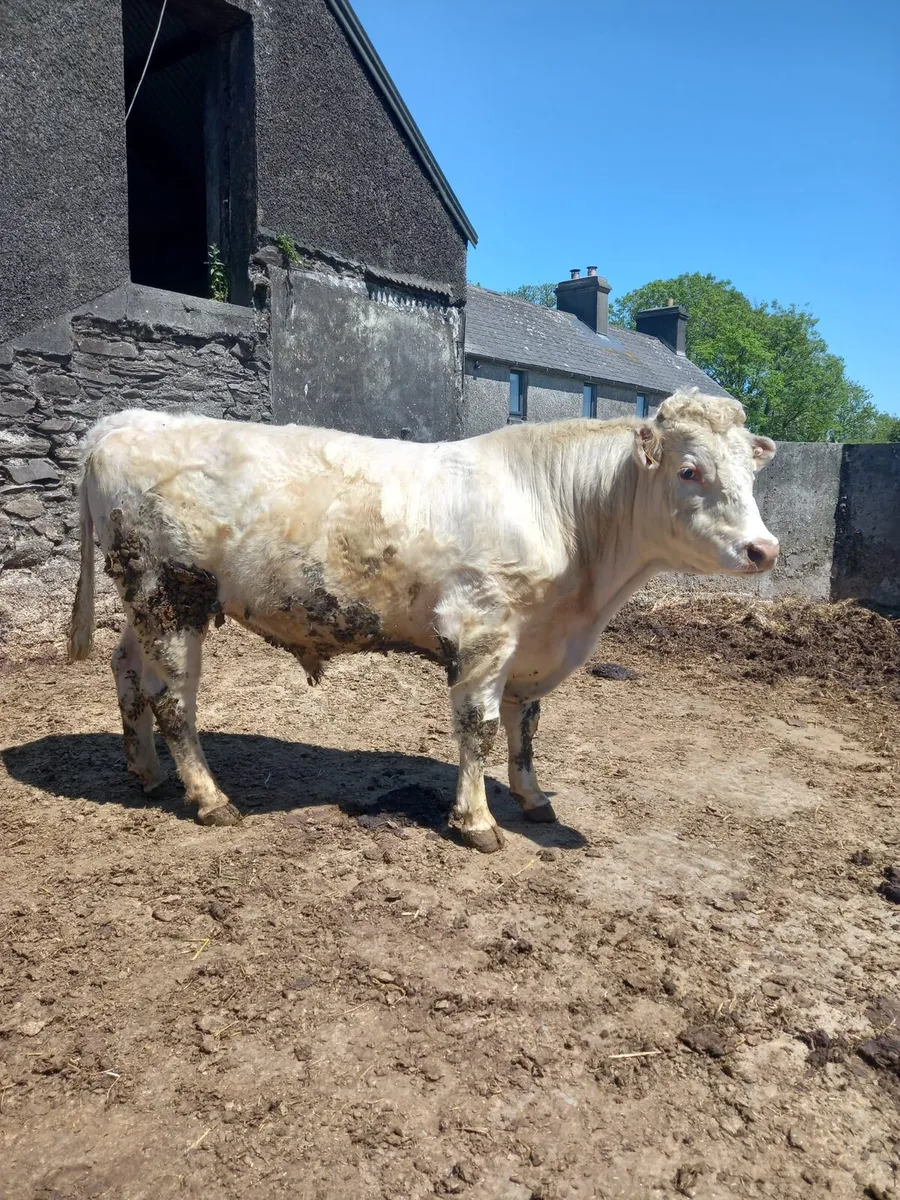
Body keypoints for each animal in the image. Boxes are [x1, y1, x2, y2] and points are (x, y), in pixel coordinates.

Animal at [67, 389, 778, 851]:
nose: (763, 549)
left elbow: (525, 725)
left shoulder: (533, 642)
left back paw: (147, 772)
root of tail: (123, 422)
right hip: (170, 594)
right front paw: (478, 822)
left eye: (751, 473)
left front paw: (532, 797)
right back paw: (210, 798)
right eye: (690, 470)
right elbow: (479, 727)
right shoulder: (483, 627)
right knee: (173, 700)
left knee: (127, 670)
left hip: (142, 601)